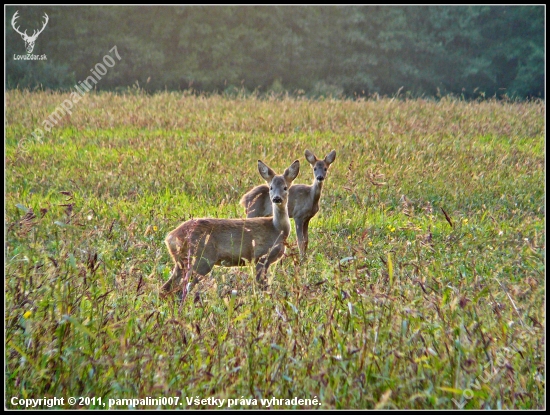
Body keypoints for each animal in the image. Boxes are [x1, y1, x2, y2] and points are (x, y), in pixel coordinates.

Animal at [163, 161, 302, 300]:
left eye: (285, 187)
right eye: (271, 188)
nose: (277, 198)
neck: (277, 229)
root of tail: (170, 237)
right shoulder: (260, 257)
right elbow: (264, 288)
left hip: (182, 262)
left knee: (167, 288)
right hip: (200, 260)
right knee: (181, 290)